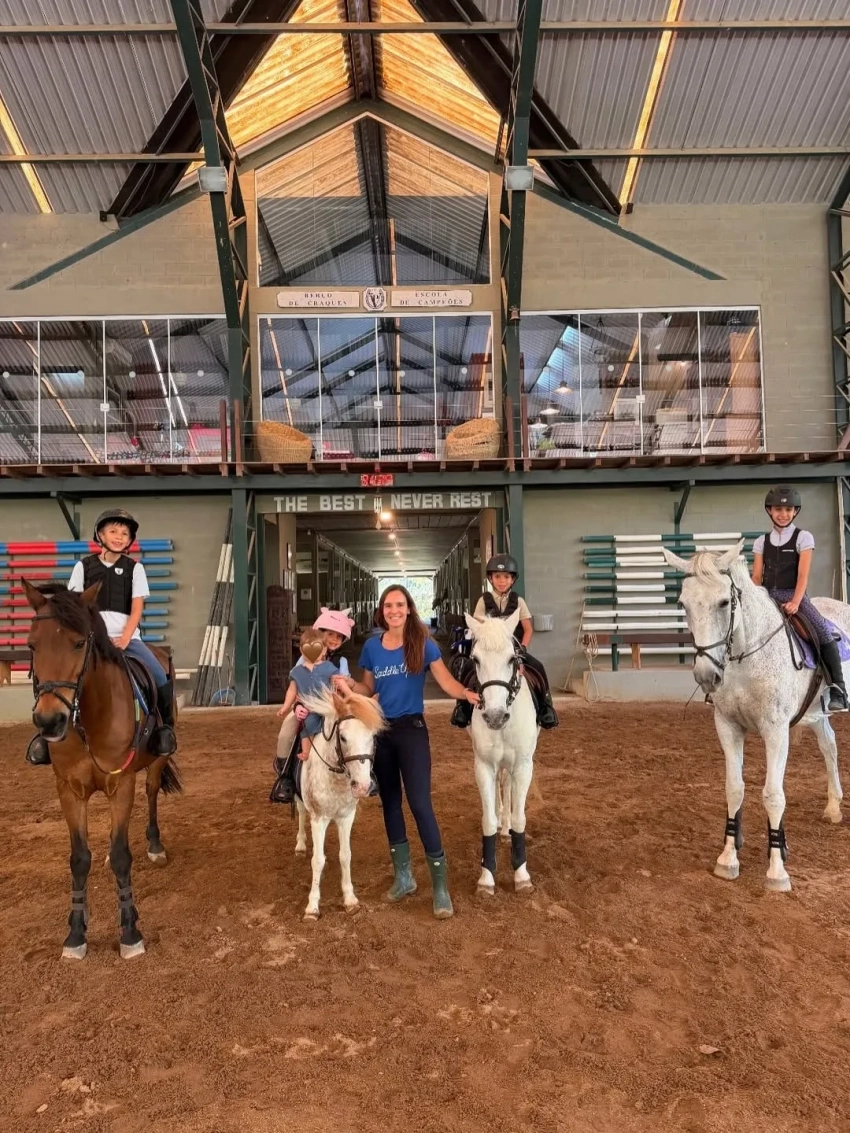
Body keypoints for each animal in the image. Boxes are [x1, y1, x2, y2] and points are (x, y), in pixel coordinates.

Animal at [23, 579, 182, 959]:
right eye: (32, 645)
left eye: (79, 643)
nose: (49, 721)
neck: (88, 719)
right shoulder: (69, 789)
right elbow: (80, 858)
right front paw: (75, 935)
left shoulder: (119, 783)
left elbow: (122, 855)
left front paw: (130, 932)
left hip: (156, 761)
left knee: (150, 794)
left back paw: (155, 845)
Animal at [293, 687, 384, 920]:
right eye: (342, 737)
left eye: (373, 737)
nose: (362, 786)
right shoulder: (319, 819)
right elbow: (317, 860)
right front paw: (312, 907)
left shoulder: (346, 817)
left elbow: (345, 856)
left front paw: (350, 900)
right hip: (300, 800)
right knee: (301, 814)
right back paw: (300, 845)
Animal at [465, 610, 538, 894]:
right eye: (475, 659)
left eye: (512, 658)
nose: (495, 717)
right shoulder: (483, 765)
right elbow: (486, 819)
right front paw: (486, 878)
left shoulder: (524, 766)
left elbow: (519, 819)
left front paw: (521, 875)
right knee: (499, 785)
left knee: (506, 785)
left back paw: (504, 827)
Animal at [662, 541, 848, 892]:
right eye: (683, 604)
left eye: (724, 602)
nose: (706, 675)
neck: (746, 656)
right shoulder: (728, 726)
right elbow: (735, 788)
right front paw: (728, 859)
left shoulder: (776, 730)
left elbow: (773, 795)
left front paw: (777, 871)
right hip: (818, 714)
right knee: (829, 747)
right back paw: (833, 807)